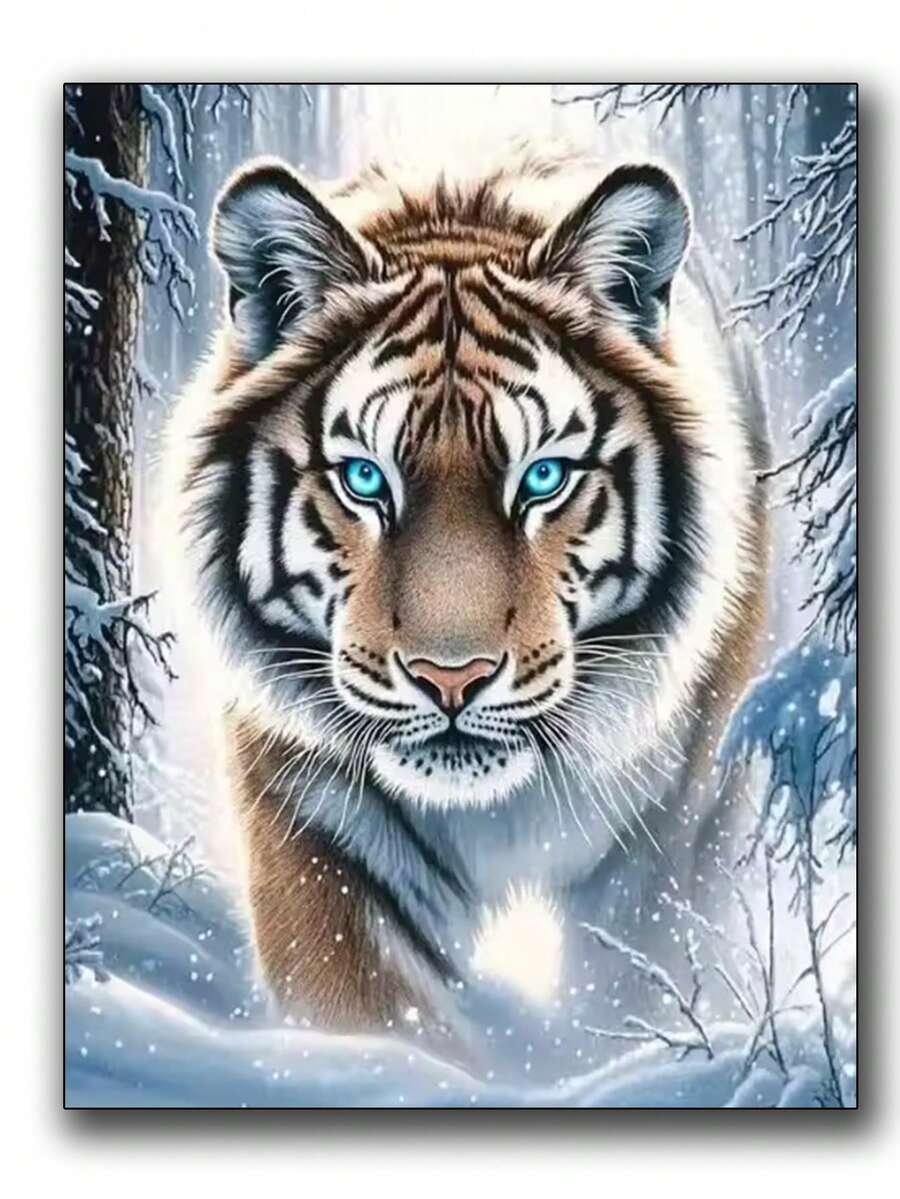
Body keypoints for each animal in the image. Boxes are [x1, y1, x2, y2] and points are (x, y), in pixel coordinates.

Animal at [167, 147, 768, 1056]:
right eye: (365, 478)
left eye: (543, 477)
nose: (452, 679)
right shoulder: (315, 829)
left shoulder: (671, 835)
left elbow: (631, 991)